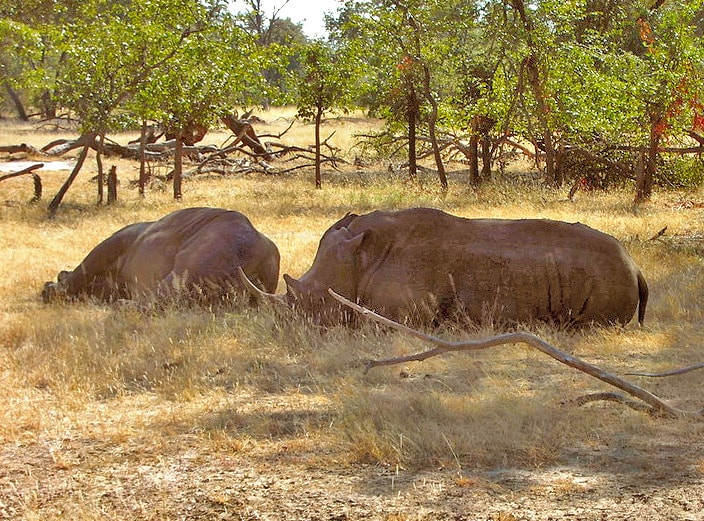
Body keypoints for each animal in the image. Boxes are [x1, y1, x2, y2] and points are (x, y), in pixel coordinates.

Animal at [246, 207, 648, 327]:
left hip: (608, 275)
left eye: (314, 302)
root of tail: (635, 265)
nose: (283, 328)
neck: (360, 258)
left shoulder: (403, 314)